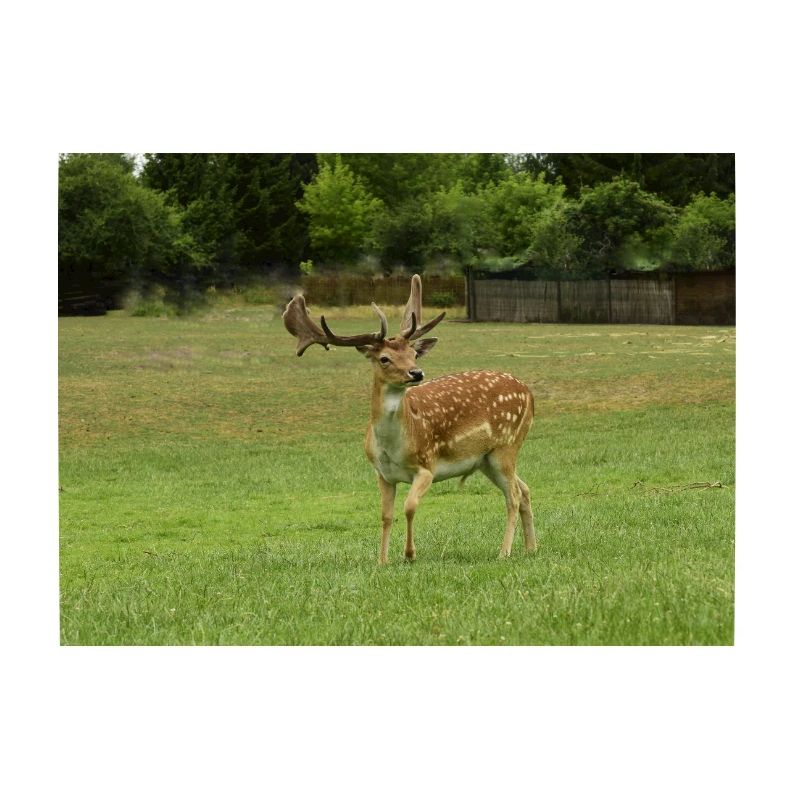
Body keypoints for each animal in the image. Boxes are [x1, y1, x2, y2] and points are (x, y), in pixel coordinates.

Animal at [282, 274, 536, 564]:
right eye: (384, 358)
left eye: (413, 354)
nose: (416, 373)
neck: (394, 445)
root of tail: (529, 394)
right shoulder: (382, 474)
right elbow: (385, 515)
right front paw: (382, 560)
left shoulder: (427, 465)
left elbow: (410, 506)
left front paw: (409, 553)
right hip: (486, 460)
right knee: (524, 490)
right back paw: (531, 548)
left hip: (507, 445)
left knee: (513, 495)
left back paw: (504, 552)